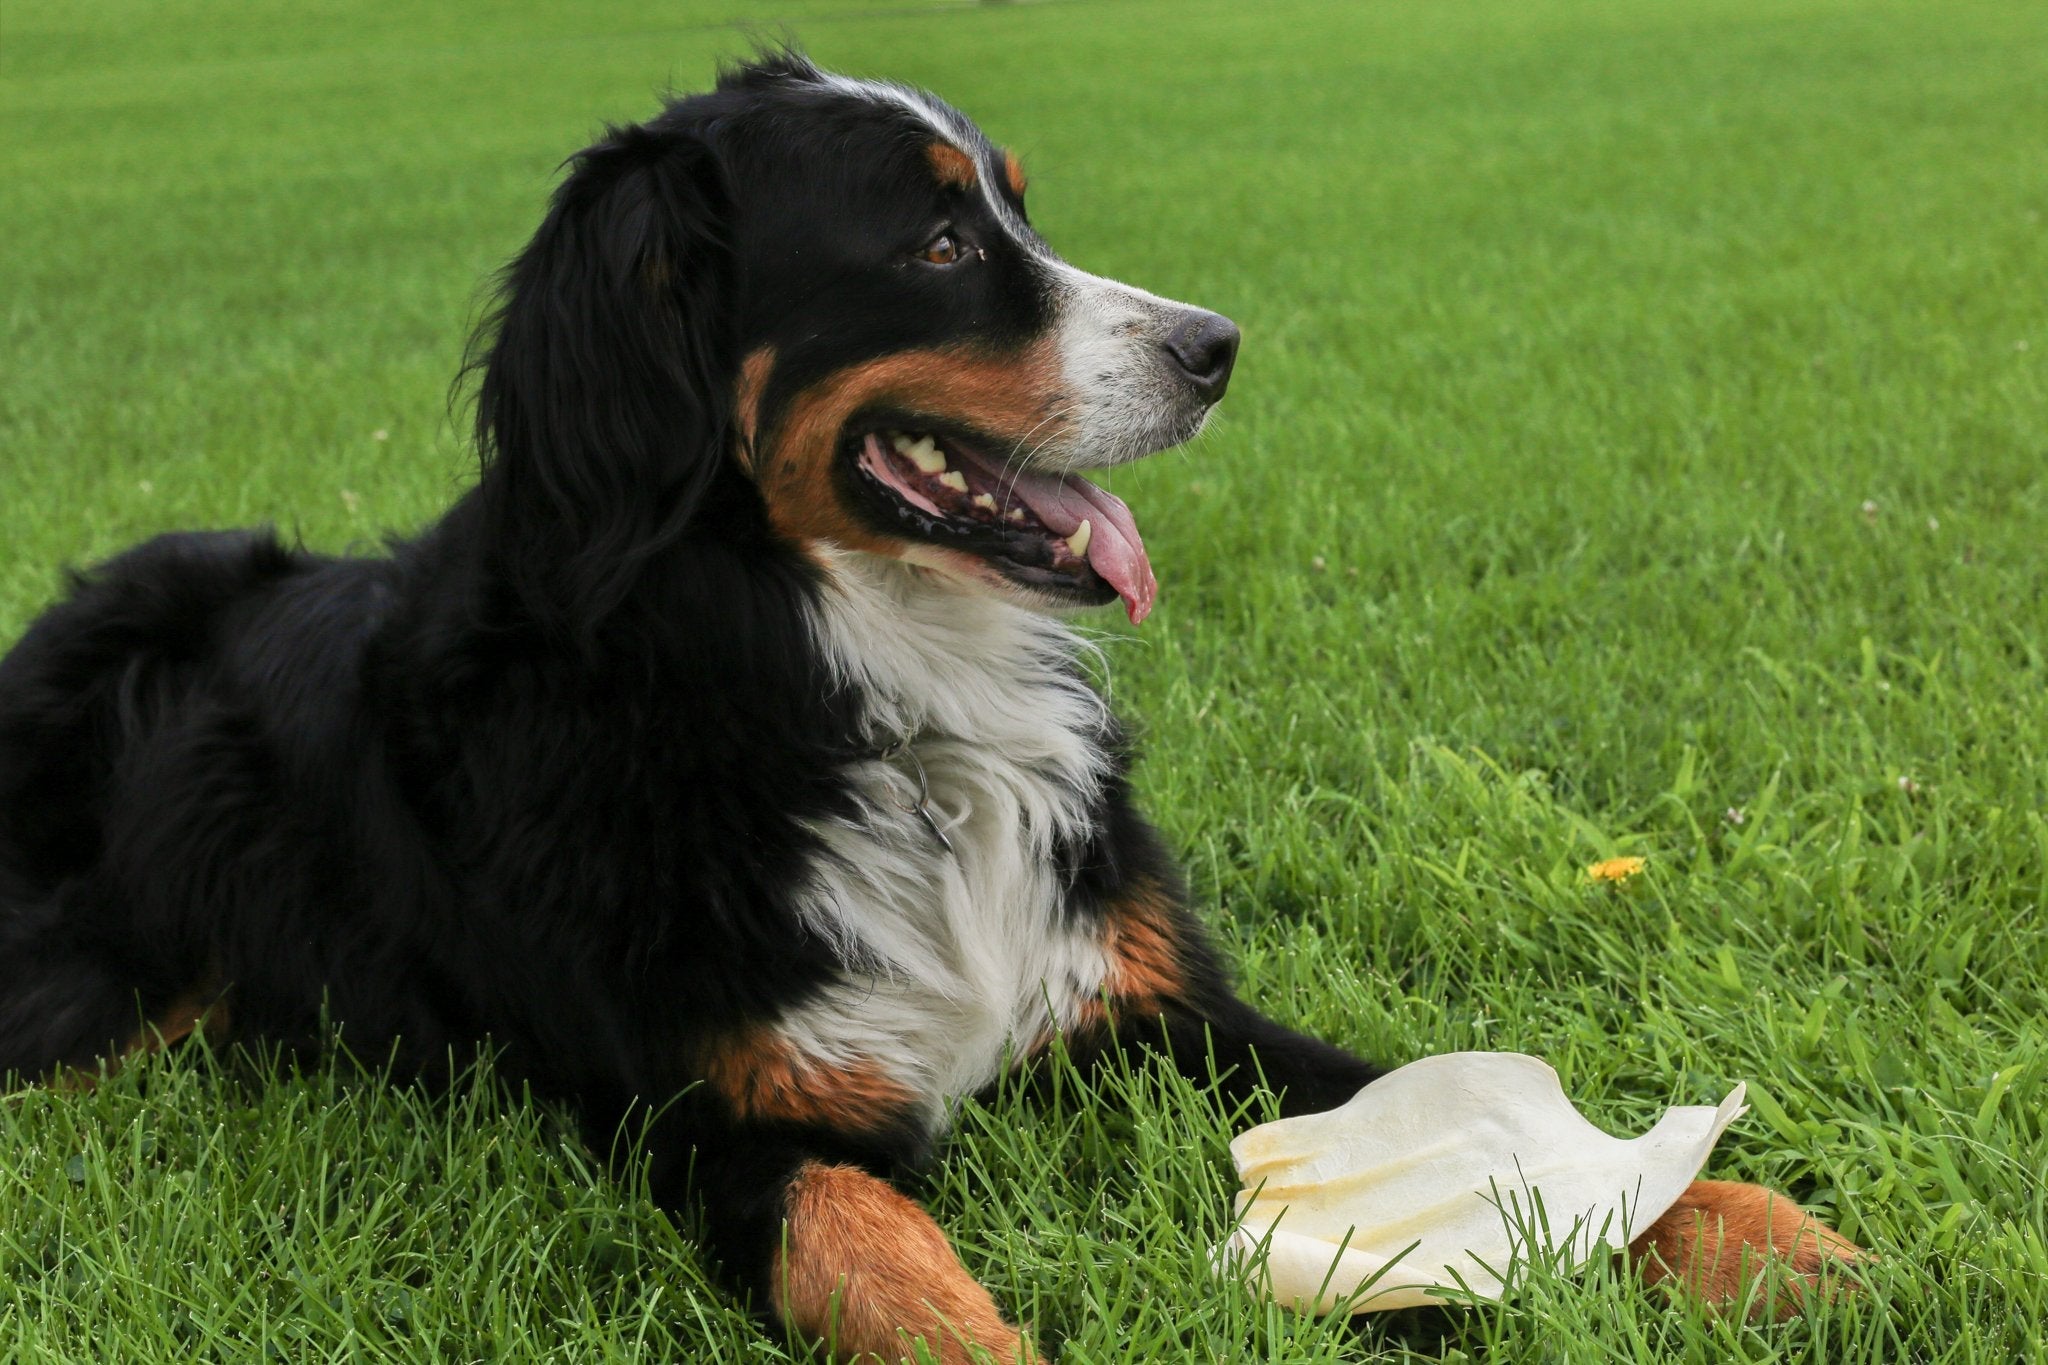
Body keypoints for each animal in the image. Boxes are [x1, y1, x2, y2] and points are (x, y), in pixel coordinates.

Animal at [0, 50, 1859, 1365]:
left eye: (1019, 211)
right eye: (942, 242)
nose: (1218, 345)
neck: (872, 709)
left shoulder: (1150, 1008)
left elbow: (1460, 1118)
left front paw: (1761, 1238)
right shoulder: (711, 1120)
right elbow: (870, 1249)